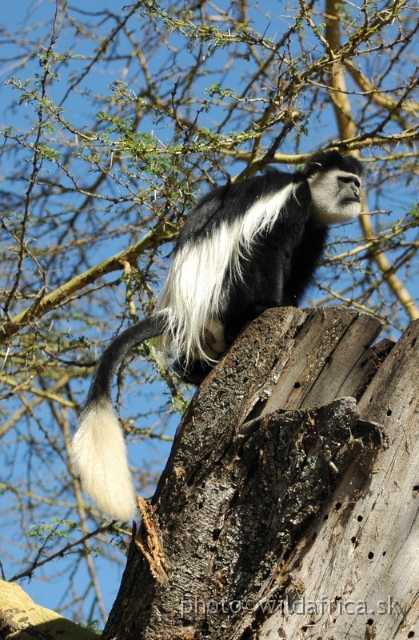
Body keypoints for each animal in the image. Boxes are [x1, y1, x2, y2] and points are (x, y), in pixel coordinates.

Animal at [71, 150, 364, 520]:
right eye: (346, 180)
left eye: (358, 183)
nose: (356, 193)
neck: (309, 195)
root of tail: (180, 310)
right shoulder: (292, 202)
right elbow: (271, 247)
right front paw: (273, 305)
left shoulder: (315, 232)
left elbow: (299, 270)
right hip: (222, 297)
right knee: (252, 255)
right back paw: (253, 313)